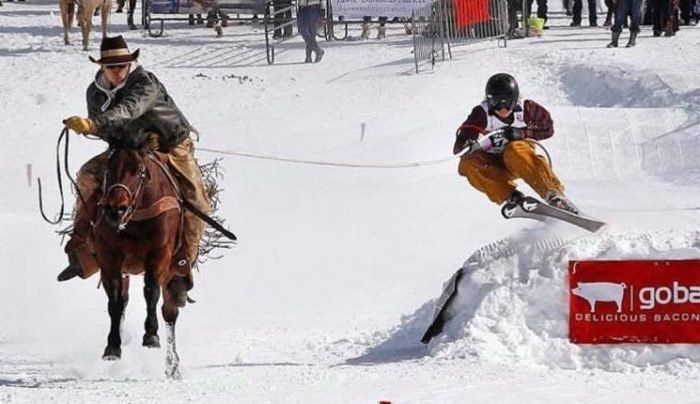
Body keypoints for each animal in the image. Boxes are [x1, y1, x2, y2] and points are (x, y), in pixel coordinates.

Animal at [94, 146, 191, 378]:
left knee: (169, 312)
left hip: (172, 271)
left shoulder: (160, 254)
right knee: (124, 300)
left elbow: (151, 291)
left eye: (139, 171)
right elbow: (116, 302)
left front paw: (151, 335)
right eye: (109, 167)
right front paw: (112, 347)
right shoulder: (109, 259)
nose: (116, 209)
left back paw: (172, 366)